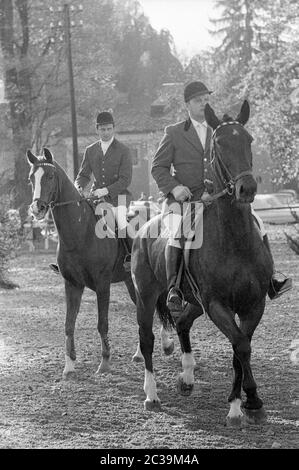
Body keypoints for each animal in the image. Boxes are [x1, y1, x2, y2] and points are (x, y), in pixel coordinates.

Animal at [26, 150, 140, 378]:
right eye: (31, 179)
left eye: (50, 176)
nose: (37, 208)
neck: (80, 233)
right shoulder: (72, 284)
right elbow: (69, 324)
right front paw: (69, 365)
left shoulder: (102, 285)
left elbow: (102, 324)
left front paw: (104, 363)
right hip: (130, 282)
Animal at [131, 102, 274, 426]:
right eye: (219, 143)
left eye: (248, 139)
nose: (247, 188)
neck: (235, 241)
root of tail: (145, 228)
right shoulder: (217, 304)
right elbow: (241, 346)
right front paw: (241, 405)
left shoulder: (253, 304)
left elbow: (241, 347)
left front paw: (248, 401)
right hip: (146, 296)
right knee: (146, 340)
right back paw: (152, 396)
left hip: (194, 301)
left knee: (183, 322)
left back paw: (186, 378)